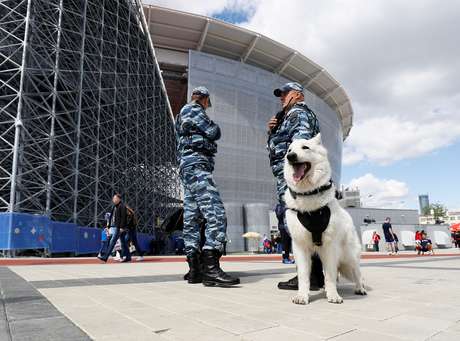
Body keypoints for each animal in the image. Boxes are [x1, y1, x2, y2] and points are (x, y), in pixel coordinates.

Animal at [282, 134, 364, 304]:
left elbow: (331, 276)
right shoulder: (300, 247)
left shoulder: (329, 247)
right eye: (289, 150)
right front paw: (302, 295)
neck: (308, 194)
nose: (290, 156)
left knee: (357, 272)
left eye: (305, 147)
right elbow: (304, 276)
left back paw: (360, 288)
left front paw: (333, 295)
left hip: (349, 256)